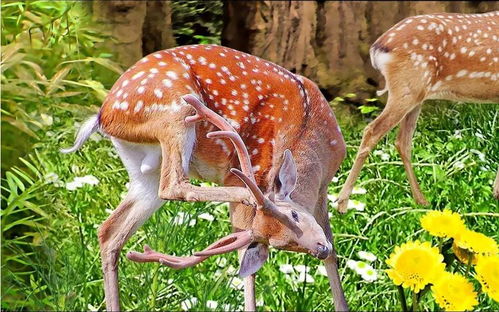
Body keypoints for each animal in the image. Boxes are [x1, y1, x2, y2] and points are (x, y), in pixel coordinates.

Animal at [62, 44, 350, 312]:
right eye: (281, 241)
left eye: (295, 216)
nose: (318, 248)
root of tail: (104, 114)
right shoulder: (246, 173)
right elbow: (246, 260)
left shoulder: (323, 190)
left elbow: (332, 253)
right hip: (176, 111)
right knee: (175, 185)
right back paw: (246, 195)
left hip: (145, 171)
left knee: (110, 231)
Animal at [336, 11, 499, 212]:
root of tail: (378, 47)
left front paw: (496, 193)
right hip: (406, 89)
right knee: (372, 131)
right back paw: (342, 204)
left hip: (415, 96)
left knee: (402, 141)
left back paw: (421, 201)